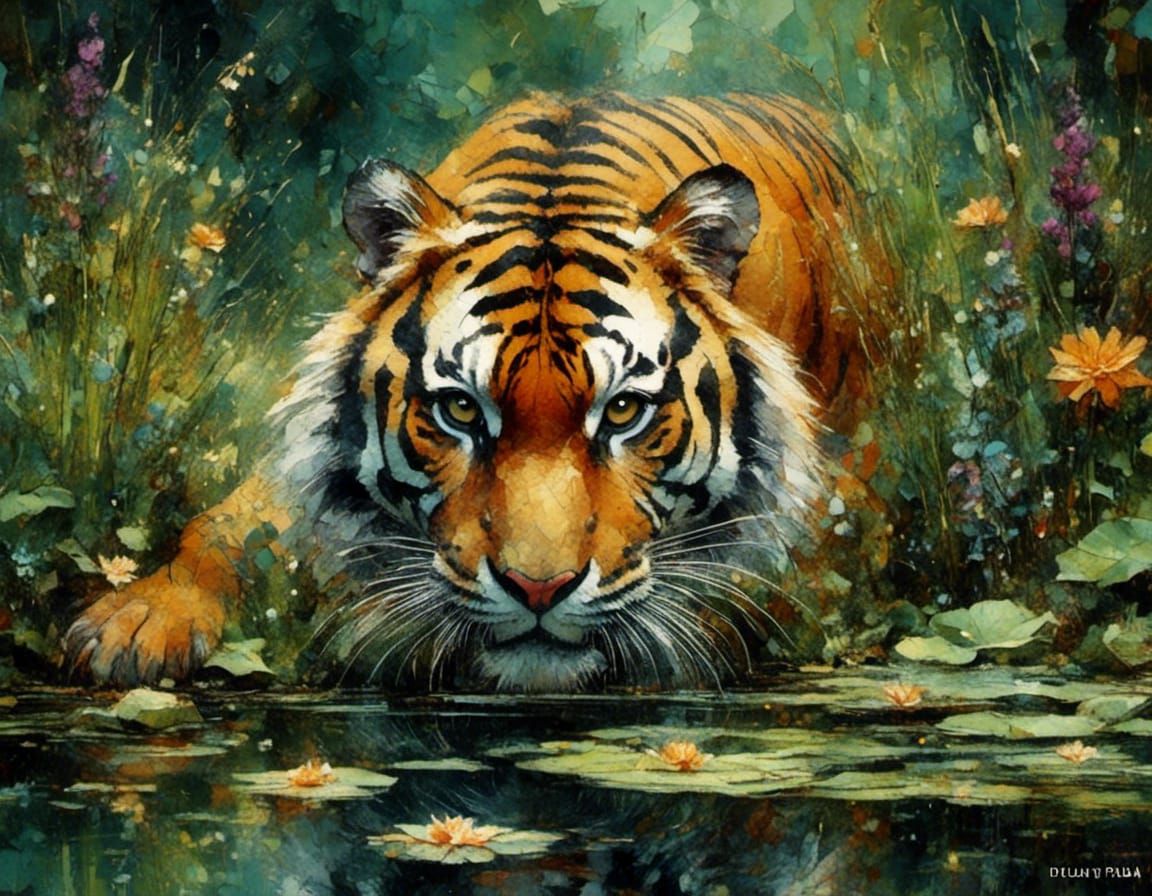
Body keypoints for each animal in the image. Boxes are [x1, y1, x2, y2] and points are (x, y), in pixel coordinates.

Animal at [63, 92, 890, 693]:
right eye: (460, 409)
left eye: (624, 411)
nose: (537, 589)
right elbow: (221, 528)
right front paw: (130, 626)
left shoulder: (836, 502)